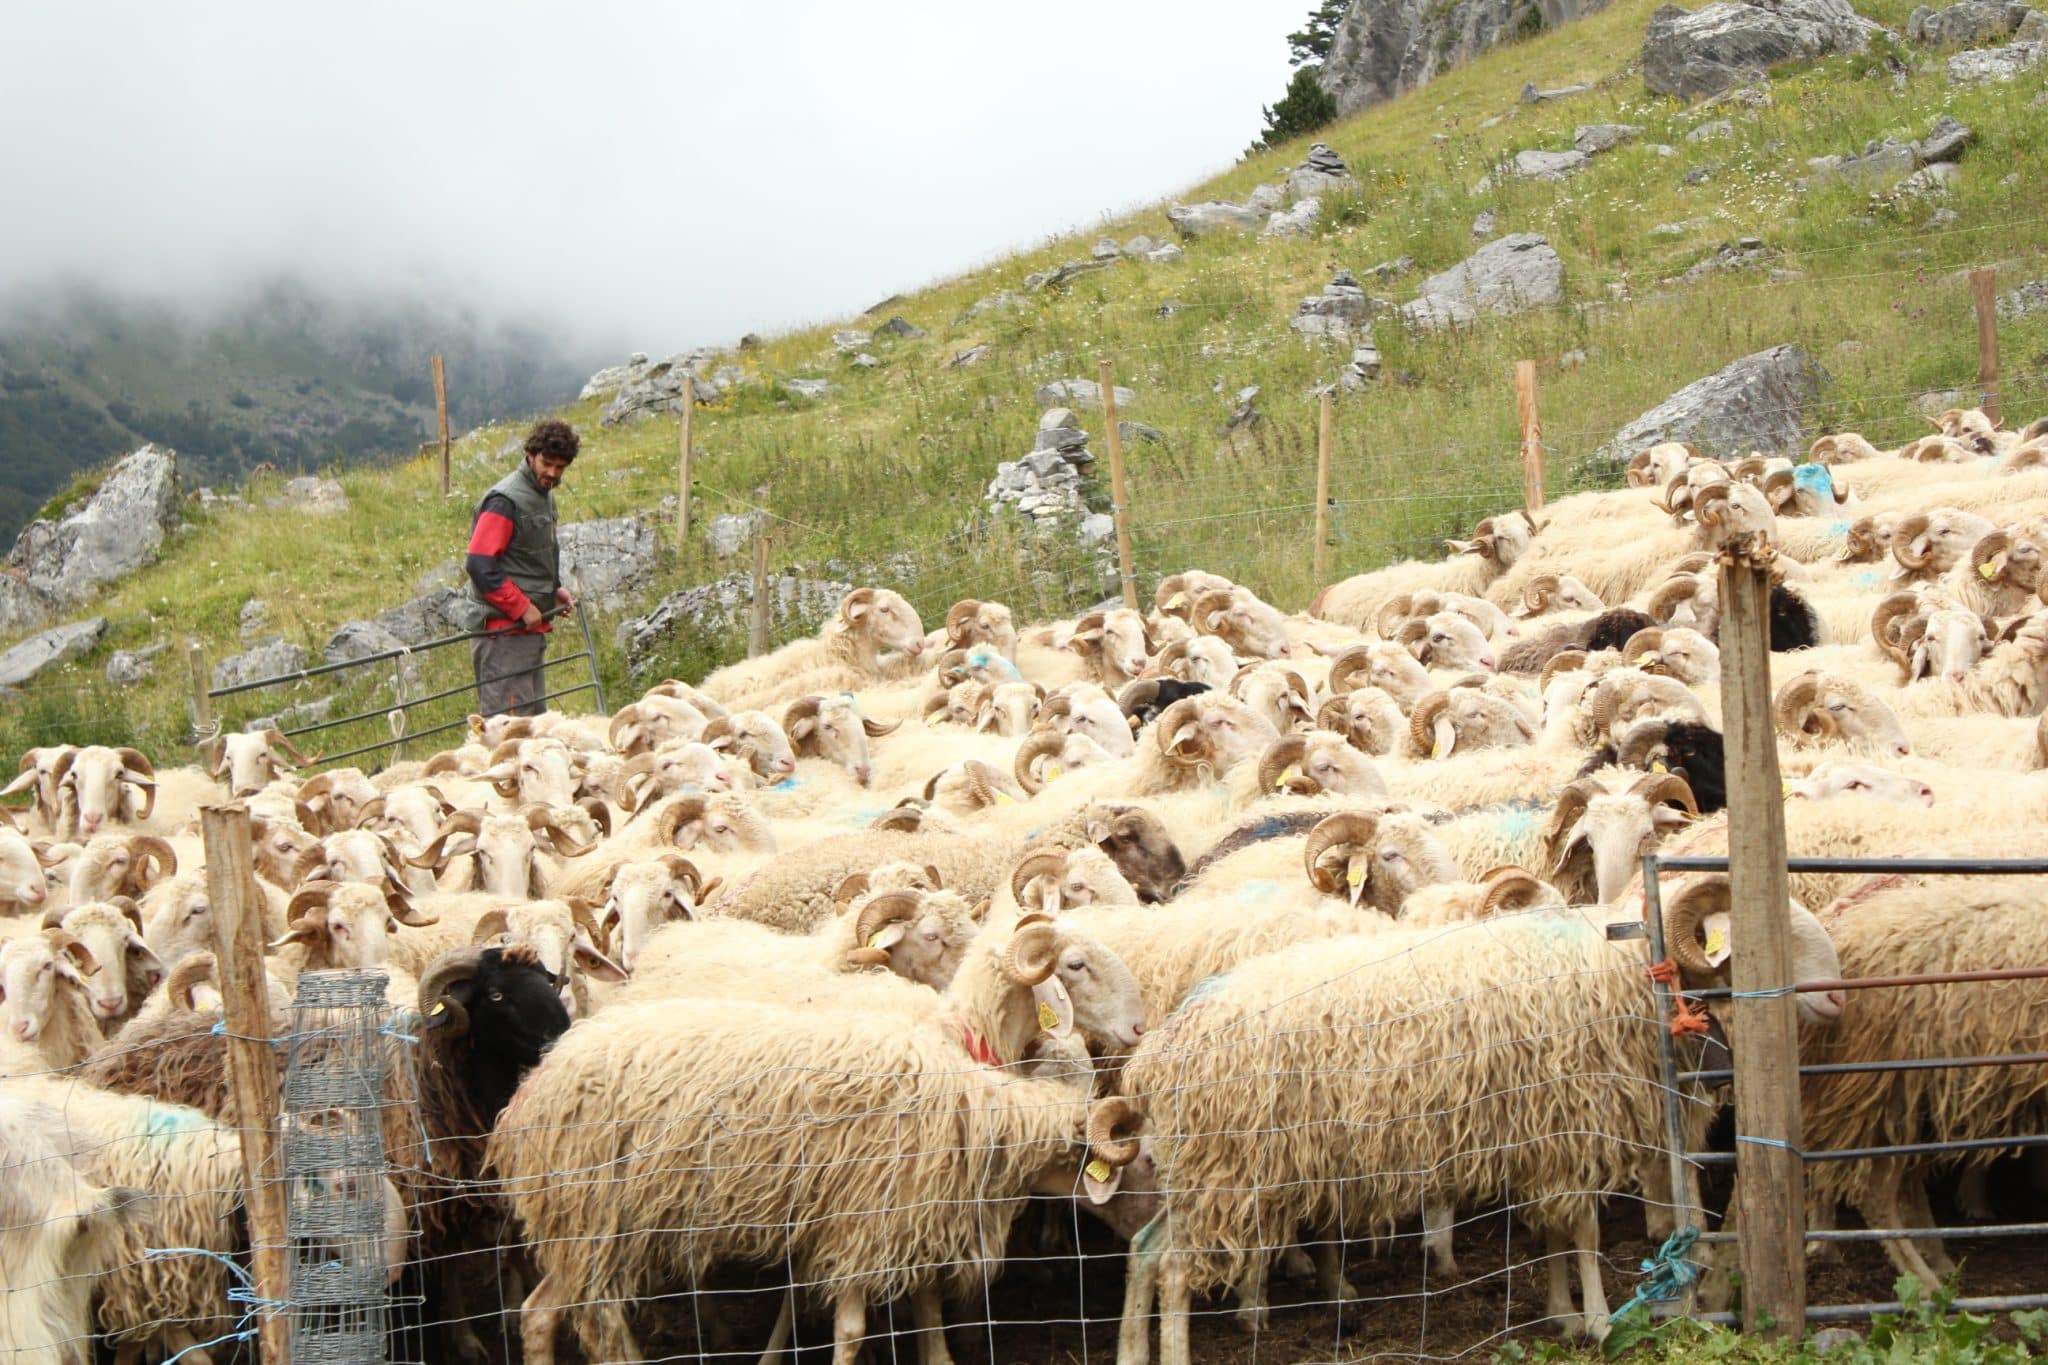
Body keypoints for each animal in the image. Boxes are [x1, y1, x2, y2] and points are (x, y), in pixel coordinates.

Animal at [487, 916, 1146, 1365]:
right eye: (1076, 965)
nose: (1140, 1027)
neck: (959, 1036)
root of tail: (531, 1093)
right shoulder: (879, 1200)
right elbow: (891, 1303)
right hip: (591, 1218)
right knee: (584, 1320)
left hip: (593, 1225)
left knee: (542, 1315)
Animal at [1114, 879, 1851, 1358]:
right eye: (1759, 936)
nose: (1838, 997)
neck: (1620, 968)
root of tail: (1160, 1051)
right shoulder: (1570, 1122)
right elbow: (1584, 1232)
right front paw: (1601, 1321)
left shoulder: (1543, 1134)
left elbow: (1554, 1234)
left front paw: (1562, 1316)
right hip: (1229, 1172)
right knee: (1174, 1267)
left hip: (1209, 1171)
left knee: (1146, 1249)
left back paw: (1131, 1351)